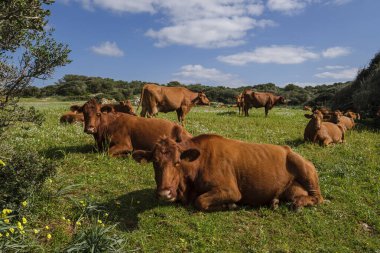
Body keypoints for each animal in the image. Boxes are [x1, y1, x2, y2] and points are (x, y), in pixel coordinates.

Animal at [134, 127, 324, 211]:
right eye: (155, 162)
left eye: (177, 162)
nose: (164, 193)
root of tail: (289, 150)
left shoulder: (231, 190)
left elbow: (200, 201)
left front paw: (229, 205)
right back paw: (276, 202)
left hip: (306, 171)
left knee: (318, 198)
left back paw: (297, 204)